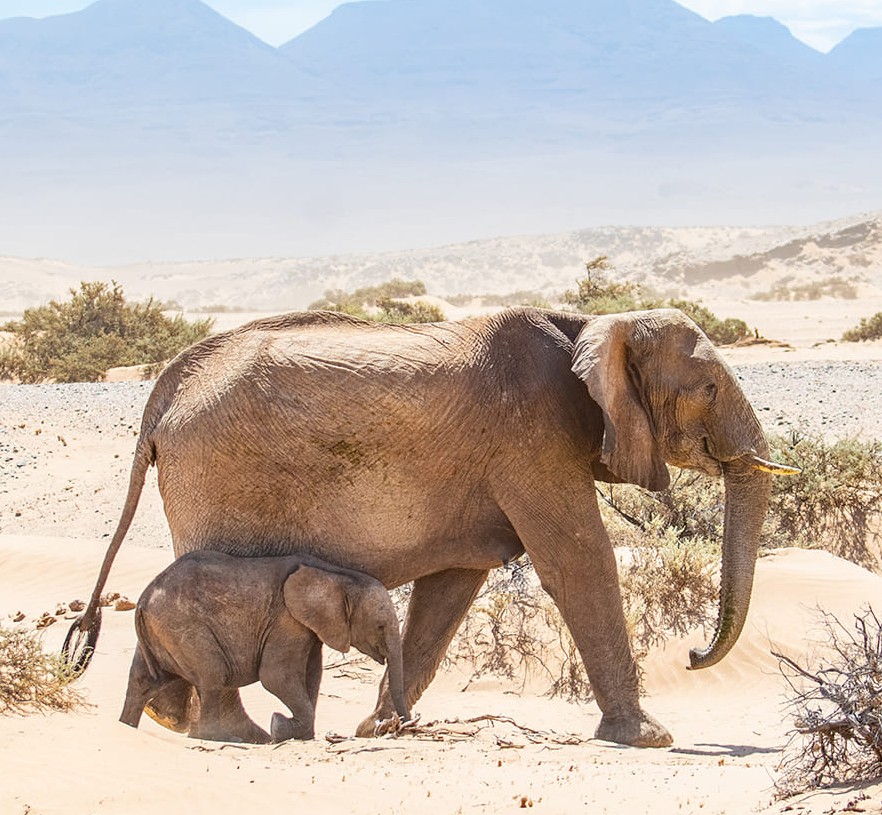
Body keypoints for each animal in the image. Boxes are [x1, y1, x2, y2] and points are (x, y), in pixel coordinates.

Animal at [118, 548, 410, 744]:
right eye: (380, 626)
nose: (401, 724)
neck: (338, 576)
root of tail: (143, 600)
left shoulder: (307, 628)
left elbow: (311, 675)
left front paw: (298, 733)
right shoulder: (286, 621)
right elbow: (276, 677)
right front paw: (279, 726)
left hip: (161, 632)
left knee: (141, 681)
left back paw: (126, 726)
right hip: (184, 628)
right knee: (212, 676)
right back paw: (221, 739)